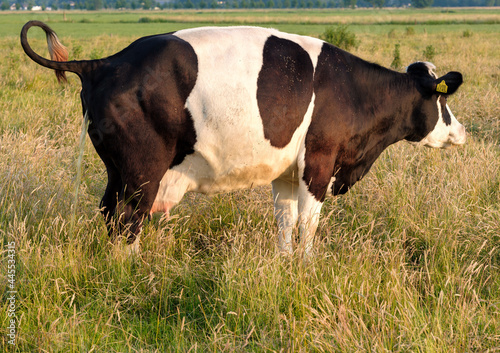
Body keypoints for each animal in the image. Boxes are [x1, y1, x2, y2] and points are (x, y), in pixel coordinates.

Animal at [20, 21, 464, 253]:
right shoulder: (319, 163)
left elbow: (285, 222)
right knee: (128, 220)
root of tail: (103, 63)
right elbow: (308, 224)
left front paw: (285, 266)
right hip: (141, 172)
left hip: (117, 171)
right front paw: (307, 268)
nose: (460, 131)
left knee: (109, 214)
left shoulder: (287, 172)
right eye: (441, 100)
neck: (352, 91)